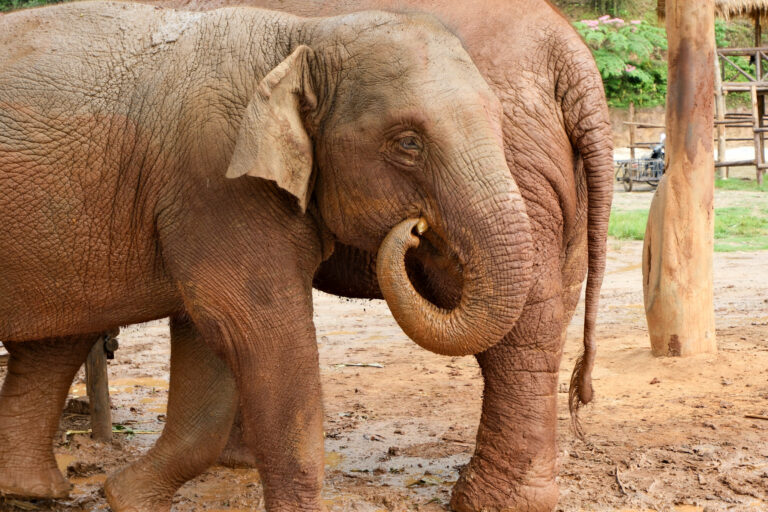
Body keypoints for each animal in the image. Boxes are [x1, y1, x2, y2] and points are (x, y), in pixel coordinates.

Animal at [0, 2, 537, 511]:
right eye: (408, 143)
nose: (416, 228)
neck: (300, 39)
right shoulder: (218, 182)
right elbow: (258, 334)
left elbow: (210, 346)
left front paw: (127, 499)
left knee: (54, 342)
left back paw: (33, 490)